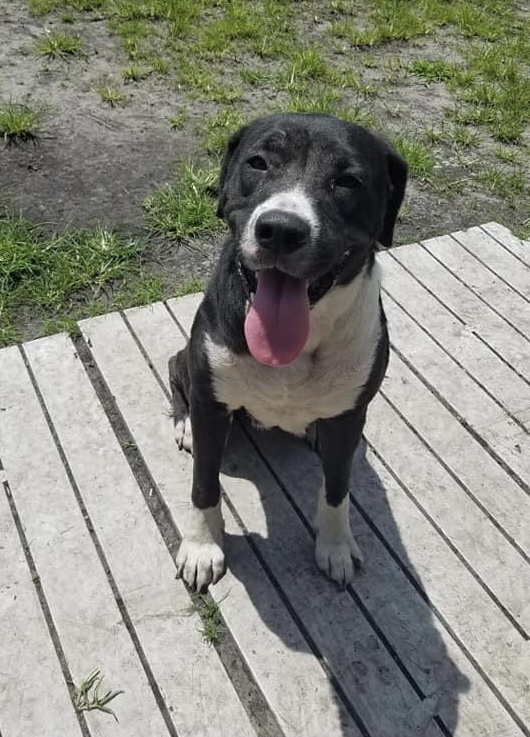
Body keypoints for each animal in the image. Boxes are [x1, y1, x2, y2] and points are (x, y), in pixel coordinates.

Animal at [168, 113, 404, 592]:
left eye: (348, 180)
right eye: (258, 162)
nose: (280, 229)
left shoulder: (349, 417)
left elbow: (337, 486)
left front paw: (335, 546)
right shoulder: (211, 401)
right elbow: (204, 483)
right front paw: (202, 546)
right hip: (187, 363)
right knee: (174, 372)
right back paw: (185, 426)